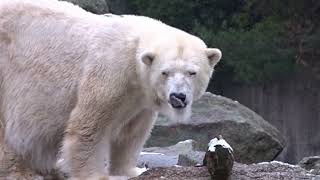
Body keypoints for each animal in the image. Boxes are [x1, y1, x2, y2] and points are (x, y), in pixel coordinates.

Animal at [0, 0, 221, 179]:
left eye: (192, 72)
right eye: (165, 72)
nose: (178, 97)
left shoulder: (140, 99)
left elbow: (133, 133)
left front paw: (131, 171)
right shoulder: (111, 72)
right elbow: (89, 127)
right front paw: (96, 175)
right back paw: (21, 171)